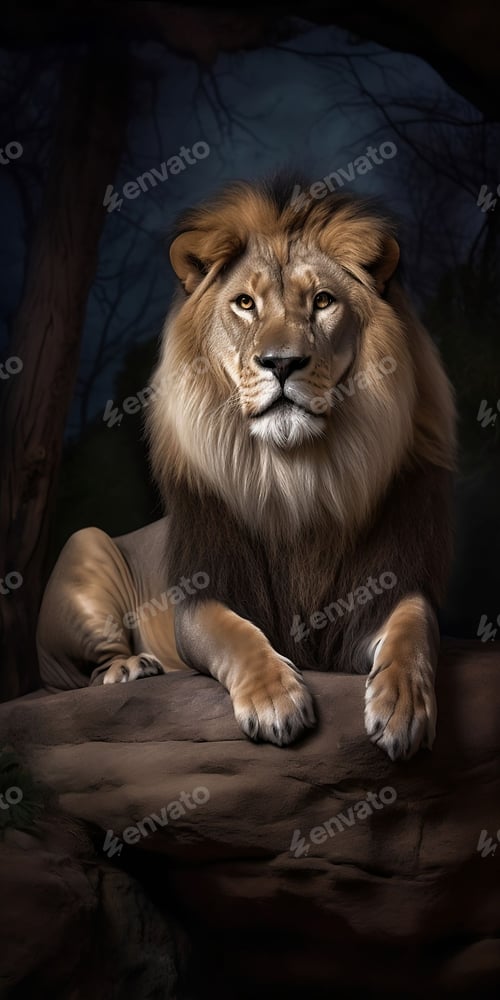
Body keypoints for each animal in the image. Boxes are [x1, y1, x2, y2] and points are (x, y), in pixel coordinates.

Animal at [37, 176, 456, 760]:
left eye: (322, 301)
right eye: (244, 303)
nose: (281, 363)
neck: (298, 475)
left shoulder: (388, 579)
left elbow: (414, 629)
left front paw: (403, 703)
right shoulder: (204, 591)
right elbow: (235, 634)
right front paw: (274, 697)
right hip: (85, 545)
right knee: (82, 673)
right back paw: (130, 668)